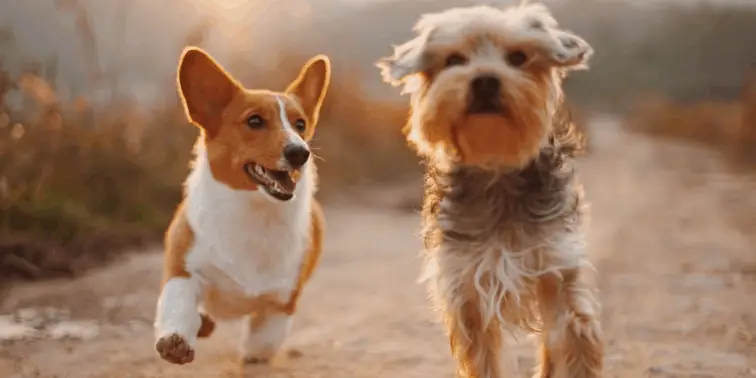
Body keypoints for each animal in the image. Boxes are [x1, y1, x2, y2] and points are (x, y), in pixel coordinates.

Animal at [378, 2, 604, 378]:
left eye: (518, 57)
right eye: (454, 59)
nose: (485, 79)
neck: (496, 167)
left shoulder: (556, 266)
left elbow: (572, 338)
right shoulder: (467, 284)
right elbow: (484, 356)